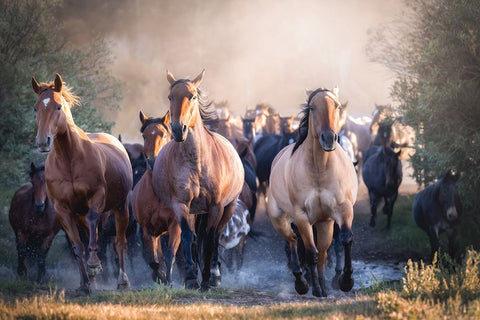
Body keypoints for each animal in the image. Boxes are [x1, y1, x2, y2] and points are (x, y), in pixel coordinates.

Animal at [31, 74, 132, 294]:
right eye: (36, 108)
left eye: (58, 106)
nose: (43, 142)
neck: (69, 159)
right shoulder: (63, 209)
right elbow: (77, 246)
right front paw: (84, 285)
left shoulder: (96, 197)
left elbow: (94, 223)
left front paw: (94, 264)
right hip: (79, 214)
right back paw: (92, 280)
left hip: (120, 207)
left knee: (120, 242)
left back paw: (122, 281)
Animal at [153, 70, 246, 290]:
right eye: (170, 97)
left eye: (192, 96)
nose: (178, 130)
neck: (197, 162)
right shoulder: (181, 204)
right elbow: (188, 236)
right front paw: (191, 278)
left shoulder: (216, 206)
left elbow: (211, 239)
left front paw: (208, 278)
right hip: (195, 211)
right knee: (197, 238)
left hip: (228, 208)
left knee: (215, 235)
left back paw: (214, 274)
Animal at [268, 87, 358, 298]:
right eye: (312, 108)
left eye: (337, 106)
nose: (329, 138)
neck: (320, 169)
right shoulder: (302, 216)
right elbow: (310, 252)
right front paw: (315, 288)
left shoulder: (342, 210)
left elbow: (345, 239)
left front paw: (346, 281)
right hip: (280, 218)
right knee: (292, 240)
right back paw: (301, 283)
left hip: (324, 222)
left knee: (323, 253)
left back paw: (324, 286)